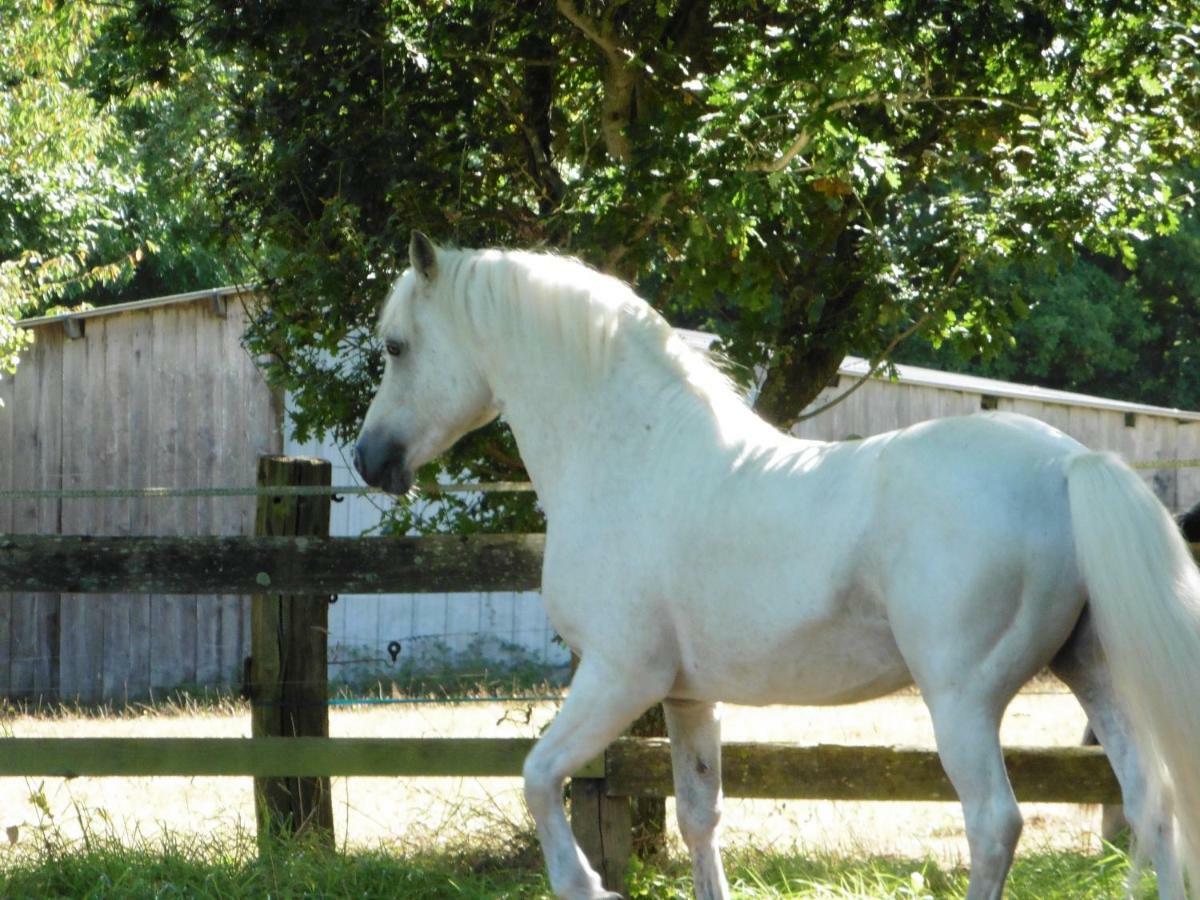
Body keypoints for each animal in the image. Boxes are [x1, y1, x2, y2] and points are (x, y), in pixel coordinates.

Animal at [355, 234, 1200, 900]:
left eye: (396, 346)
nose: (368, 460)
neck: (634, 453)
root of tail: (1067, 463)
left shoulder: (618, 677)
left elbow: (537, 777)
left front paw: (586, 886)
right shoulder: (687, 699)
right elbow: (699, 817)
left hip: (963, 700)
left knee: (995, 823)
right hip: (1093, 672)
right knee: (1152, 808)